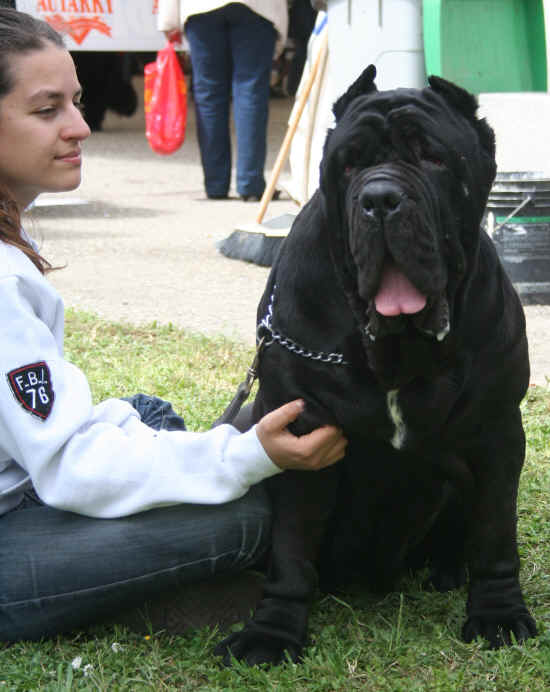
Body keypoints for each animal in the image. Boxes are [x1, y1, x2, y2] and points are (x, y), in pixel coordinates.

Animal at [216, 67, 540, 668]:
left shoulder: (497, 432)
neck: (396, 351)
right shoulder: (299, 433)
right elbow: (293, 548)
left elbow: (494, 533)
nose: (380, 198)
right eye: (349, 165)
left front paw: (498, 614)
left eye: (433, 158)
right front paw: (273, 632)